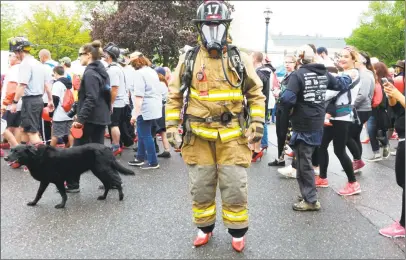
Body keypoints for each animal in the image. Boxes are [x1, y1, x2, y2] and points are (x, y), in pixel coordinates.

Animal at [4, 143, 135, 208]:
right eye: (11, 150)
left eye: (17, 151)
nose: (5, 158)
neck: (36, 157)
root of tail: (107, 147)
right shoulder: (45, 181)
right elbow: (39, 193)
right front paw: (33, 203)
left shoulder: (58, 180)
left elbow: (63, 194)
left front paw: (62, 205)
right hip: (98, 171)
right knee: (108, 183)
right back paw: (103, 197)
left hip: (102, 170)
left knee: (117, 181)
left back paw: (121, 196)